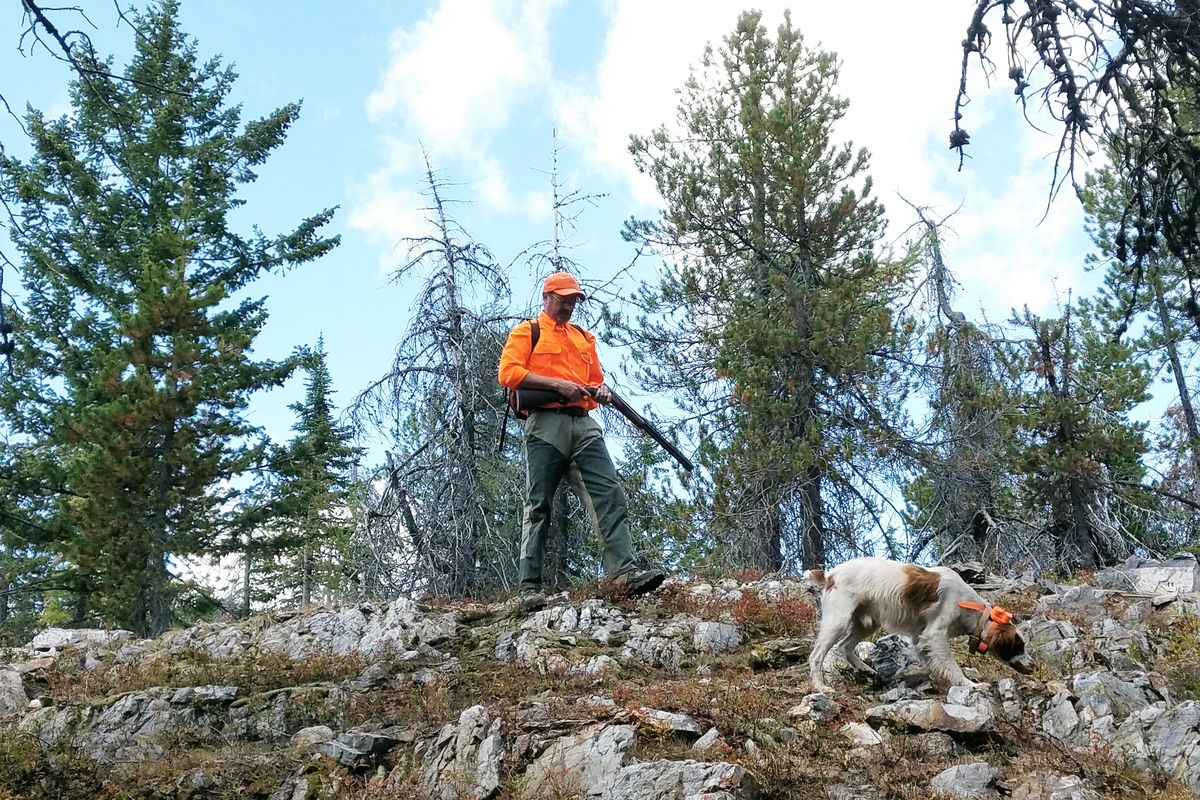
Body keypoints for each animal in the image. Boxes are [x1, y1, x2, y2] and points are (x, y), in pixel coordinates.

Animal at [811, 556, 1036, 695]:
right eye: (1019, 646)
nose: (1034, 666)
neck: (969, 605)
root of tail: (830, 574)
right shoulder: (935, 634)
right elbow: (951, 665)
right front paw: (970, 684)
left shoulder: (920, 636)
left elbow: (929, 664)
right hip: (839, 621)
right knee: (816, 655)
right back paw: (821, 687)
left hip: (866, 624)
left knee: (845, 646)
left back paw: (866, 670)